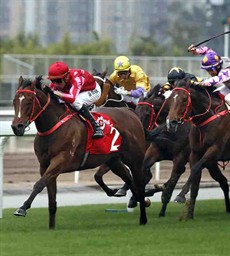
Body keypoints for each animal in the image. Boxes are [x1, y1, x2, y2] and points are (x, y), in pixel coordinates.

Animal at [10, 75, 147, 228]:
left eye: (29, 101)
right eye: (14, 101)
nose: (17, 127)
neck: (54, 126)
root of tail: (131, 112)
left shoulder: (60, 161)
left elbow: (39, 184)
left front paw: (22, 208)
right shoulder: (45, 165)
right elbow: (51, 198)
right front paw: (51, 227)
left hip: (135, 159)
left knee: (139, 184)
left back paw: (143, 217)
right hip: (113, 160)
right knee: (128, 178)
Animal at [166, 79, 230, 220]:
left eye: (184, 99)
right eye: (170, 99)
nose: (171, 122)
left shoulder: (214, 149)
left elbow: (195, 169)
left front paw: (180, 196)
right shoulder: (195, 153)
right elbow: (195, 182)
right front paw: (189, 215)